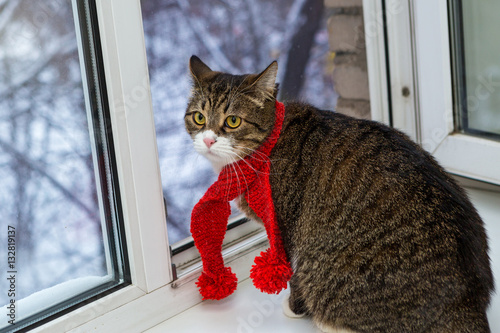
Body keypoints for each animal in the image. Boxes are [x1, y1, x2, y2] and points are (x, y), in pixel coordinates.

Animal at [183, 55, 492, 330]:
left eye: (233, 121)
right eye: (198, 117)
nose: (208, 140)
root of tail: (468, 305)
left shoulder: (286, 228)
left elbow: (293, 274)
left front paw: (294, 307)